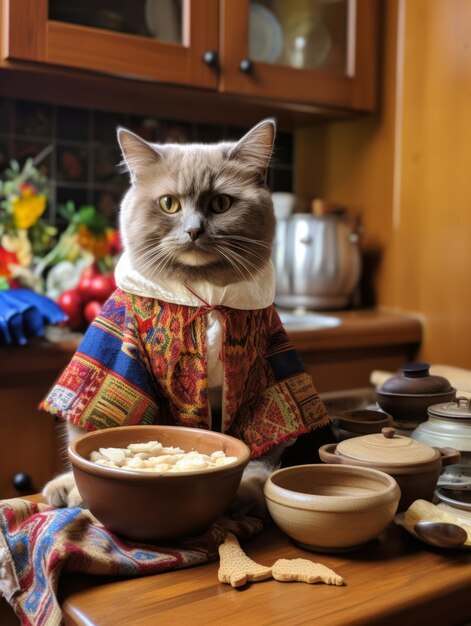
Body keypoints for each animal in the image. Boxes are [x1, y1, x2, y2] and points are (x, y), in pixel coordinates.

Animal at [42, 118, 334, 516]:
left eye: (221, 203)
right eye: (169, 203)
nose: (194, 229)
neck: (204, 297)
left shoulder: (263, 373)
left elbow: (264, 446)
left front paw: (246, 489)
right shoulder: (117, 349)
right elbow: (90, 429)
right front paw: (73, 487)